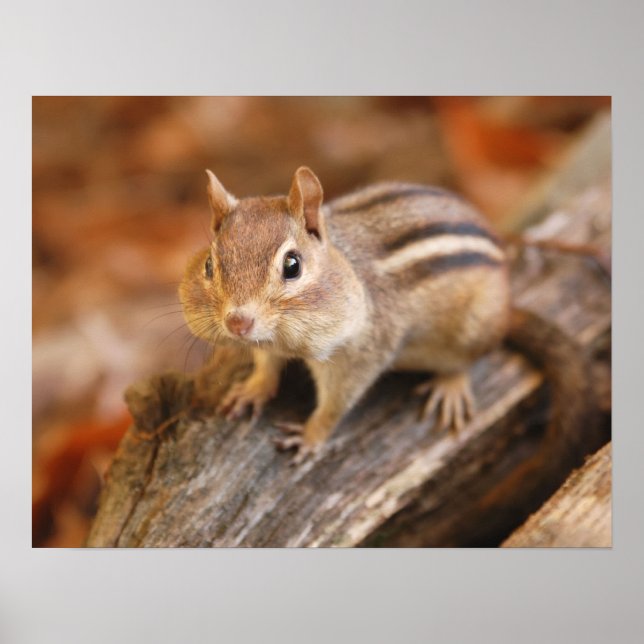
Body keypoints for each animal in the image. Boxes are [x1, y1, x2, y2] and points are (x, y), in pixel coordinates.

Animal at [179, 167, 596, 468]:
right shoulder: (267, 344)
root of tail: (507, 308)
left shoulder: (362, 352)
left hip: (473, 328)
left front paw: (311, 436)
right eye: (209, 265)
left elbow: (336, 403)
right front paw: (252, 389)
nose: (238, 322)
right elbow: (266, 364)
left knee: (467, 359)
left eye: (292, 265)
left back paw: (450, 386)